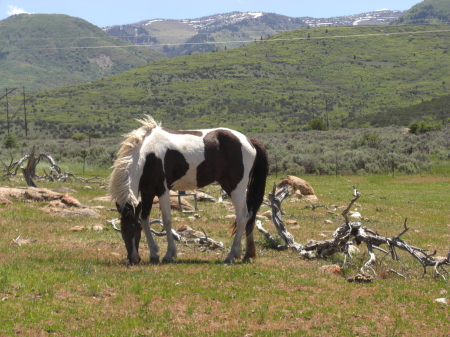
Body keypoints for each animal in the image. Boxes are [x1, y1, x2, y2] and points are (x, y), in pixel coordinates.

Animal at [110, 115, 268, 266]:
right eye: (123, 230)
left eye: (136, 229)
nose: (134, 259)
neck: (149, 155)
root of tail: (249, 140)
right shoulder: (147, 191)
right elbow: (145, 219)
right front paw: (154, 254)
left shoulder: (163, 190)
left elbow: (166, 221)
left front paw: (169, 254)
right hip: (229, 186)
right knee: (250, 214)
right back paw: (247, 254)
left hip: (237, 187)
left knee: (242, 216)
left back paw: (230, 256)